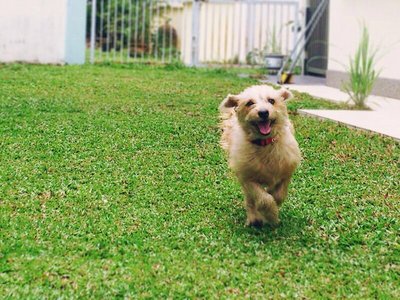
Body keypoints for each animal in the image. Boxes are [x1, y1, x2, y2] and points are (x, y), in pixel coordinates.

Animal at [219, 84, 300, 227]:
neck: (264, 144)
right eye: (249, 103)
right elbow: (264, 199)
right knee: (250, 200)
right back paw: (254, 218)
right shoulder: (247, 178)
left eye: (271, 100)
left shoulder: (286, 171)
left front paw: (274, 202)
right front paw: (271, 215)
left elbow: (279, 195)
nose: (263, 112)